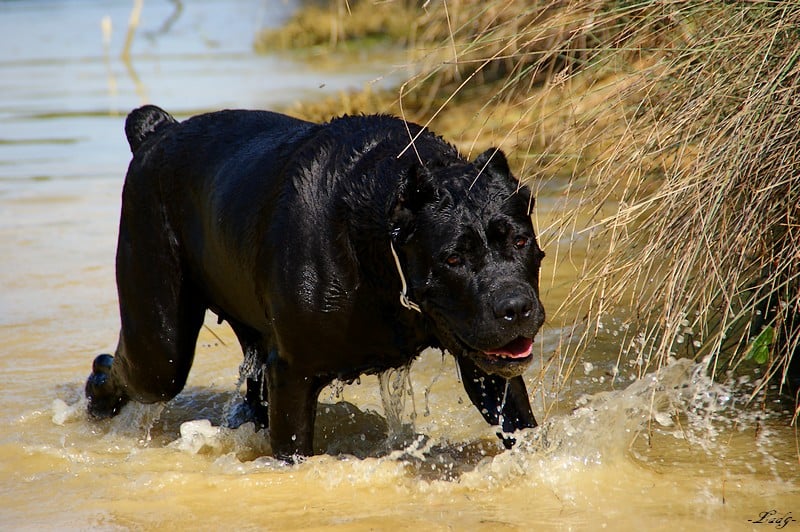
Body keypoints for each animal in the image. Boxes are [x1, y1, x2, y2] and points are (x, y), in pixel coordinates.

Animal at [87, 106, 548, 460]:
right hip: (159, 341)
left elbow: (518, 421)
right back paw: (95, 398)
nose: (515, 306)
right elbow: (294, 450)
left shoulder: (486, 365)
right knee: (134, 369)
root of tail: (157, 132)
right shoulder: (294, 373)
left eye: (520, 240)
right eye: (453, 259)